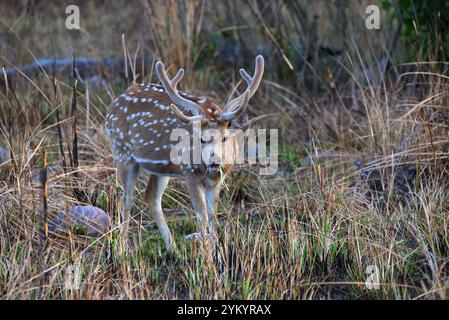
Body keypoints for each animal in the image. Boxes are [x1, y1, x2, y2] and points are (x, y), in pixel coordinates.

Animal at [105, 56, 264, 249]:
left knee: (151, 197)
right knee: (126, 199)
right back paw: (122, 249)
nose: (215, 161)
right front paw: (206, 254)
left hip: (161, 168)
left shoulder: (218, 179)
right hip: (122, 151)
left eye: (225, 137)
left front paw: (215, 250)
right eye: (201, 138)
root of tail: (113, 105)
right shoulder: (190, 173)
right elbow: (202, 217)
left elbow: (213, 217)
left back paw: (172, 248)